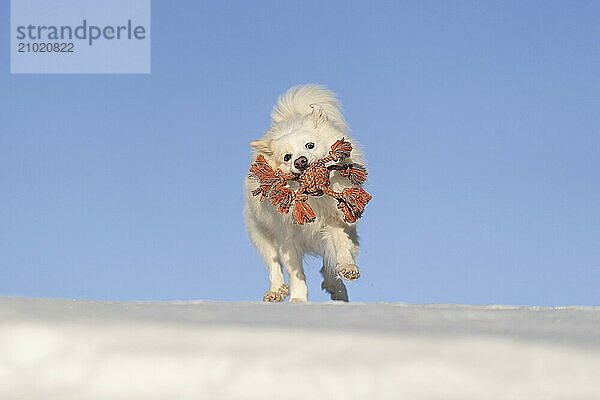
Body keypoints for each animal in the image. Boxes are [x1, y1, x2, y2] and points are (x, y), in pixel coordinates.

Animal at [243, 85, 366, 304]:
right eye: (287, 157)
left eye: (310, 145)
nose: (300, 161)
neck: (313, 200)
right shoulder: (287, 238)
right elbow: (295, 273)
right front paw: (298, 300)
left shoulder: (337, 221)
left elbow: (341, 247)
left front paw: (347, 268)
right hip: (259, 233)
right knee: (273, 264)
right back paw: (276, 291)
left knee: (328, 263)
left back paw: (337, 288)